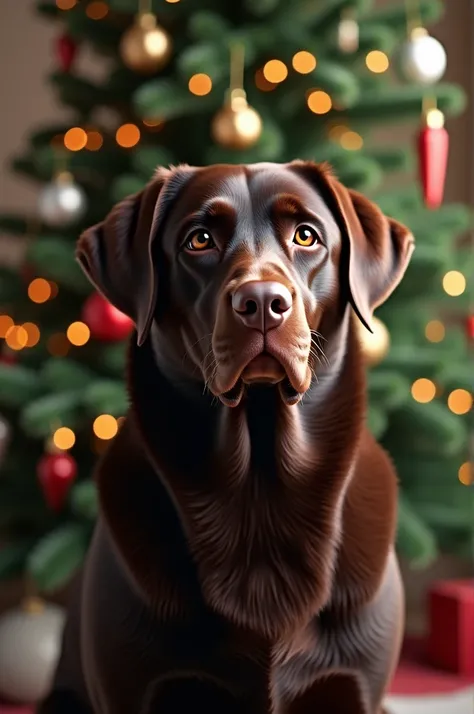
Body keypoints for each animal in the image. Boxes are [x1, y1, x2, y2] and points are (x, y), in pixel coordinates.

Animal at [39, 161, 412, 712]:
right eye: (199, 240)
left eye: (306, 236)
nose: (262, 303)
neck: (259, 484)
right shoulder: (133, 688)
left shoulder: (358, 686)